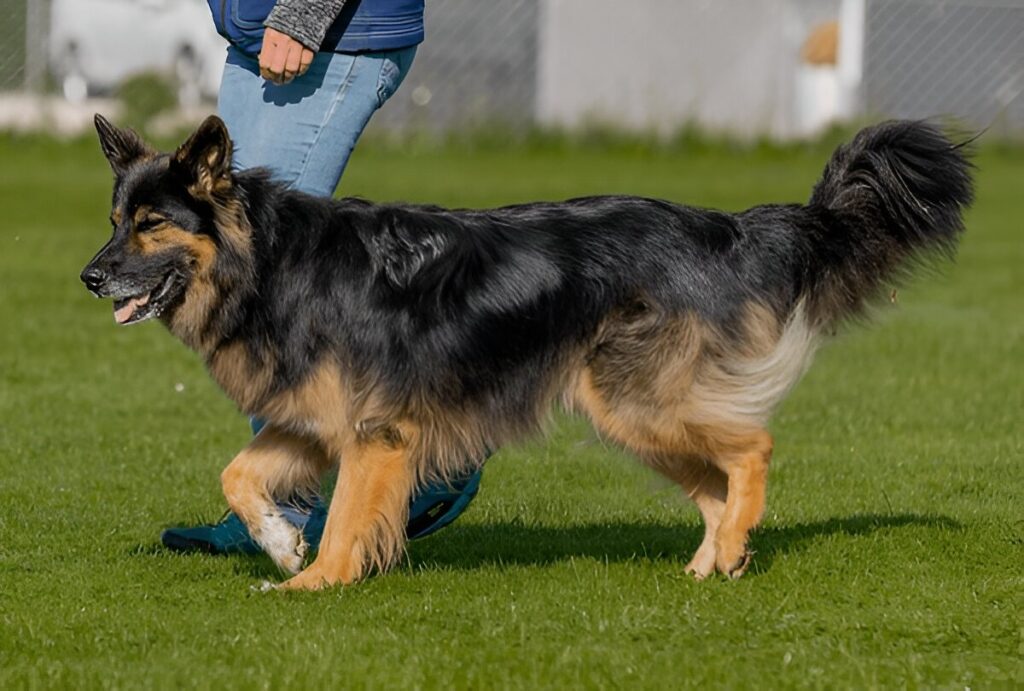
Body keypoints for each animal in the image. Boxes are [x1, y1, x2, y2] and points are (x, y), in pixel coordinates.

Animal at [81, 113, 974, 589]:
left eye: (152, 224)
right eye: (117, 217)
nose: (89, 276)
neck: (272, 262)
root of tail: (726, 228)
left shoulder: (376, 434)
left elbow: (341, 523)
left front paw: (313, 581)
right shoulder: (311, 424)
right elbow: (236, 475)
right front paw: (278, 542)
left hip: (636, 402)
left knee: (751, 449)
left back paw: (731, 542)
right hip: (634, 416)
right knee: (716, 488)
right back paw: (713, 563)